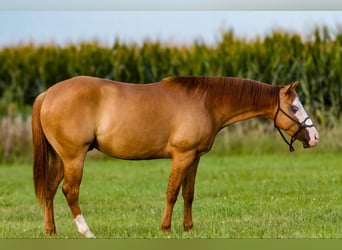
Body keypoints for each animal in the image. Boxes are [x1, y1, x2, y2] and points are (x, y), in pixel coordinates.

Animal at [31, 76, 318, 238]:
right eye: (294, 107)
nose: (314, 137)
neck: (205, 102)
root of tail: (47, 94)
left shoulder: (195, 157)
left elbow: (188, 193)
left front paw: (189, 228)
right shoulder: (181, 155)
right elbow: (172, 192)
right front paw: (166, 228)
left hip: (61, 158)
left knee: (50, 190)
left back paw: (51, 231)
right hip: (74, 157)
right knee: (70, 191)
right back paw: (86, 231)